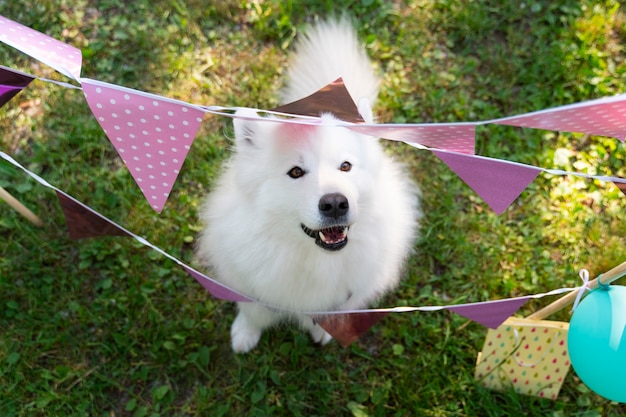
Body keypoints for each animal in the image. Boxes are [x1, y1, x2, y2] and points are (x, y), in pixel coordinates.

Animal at [195, 18, 420, 352]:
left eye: (345, 166)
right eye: (296, 172)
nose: (335, 203)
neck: (312, 259)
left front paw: (324, 329)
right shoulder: (250, 279)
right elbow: (252, 311)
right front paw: (245, 334)